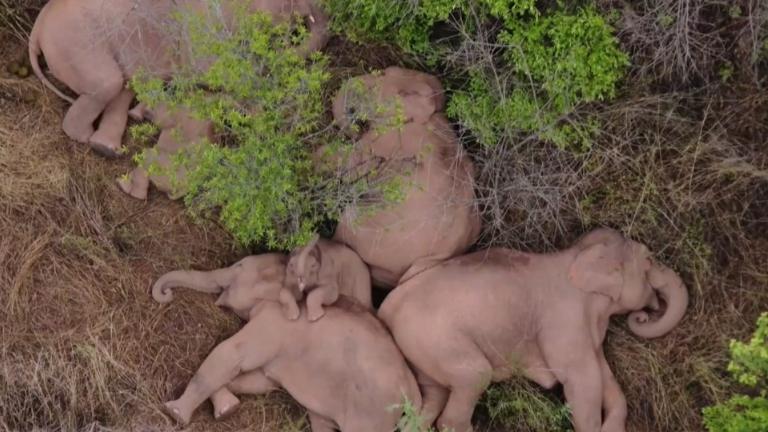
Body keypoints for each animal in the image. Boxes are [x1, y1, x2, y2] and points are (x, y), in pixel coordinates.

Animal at [28, 0, 329, 157]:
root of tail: (37, 28)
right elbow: (208, 69)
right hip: (77, 42)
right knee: (109, 83)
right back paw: (87, 139)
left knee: (122, 86)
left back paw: (107, 147)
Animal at [378, 228, 689, 432]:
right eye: (649, 261)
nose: (643, 316)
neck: (577, 254)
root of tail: (388, 306)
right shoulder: (564, 319)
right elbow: (582, 380)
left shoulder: (587, 331)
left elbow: (605, 378)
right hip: (433, 337)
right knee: (472, 380)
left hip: (419, 349)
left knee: (430, 400)